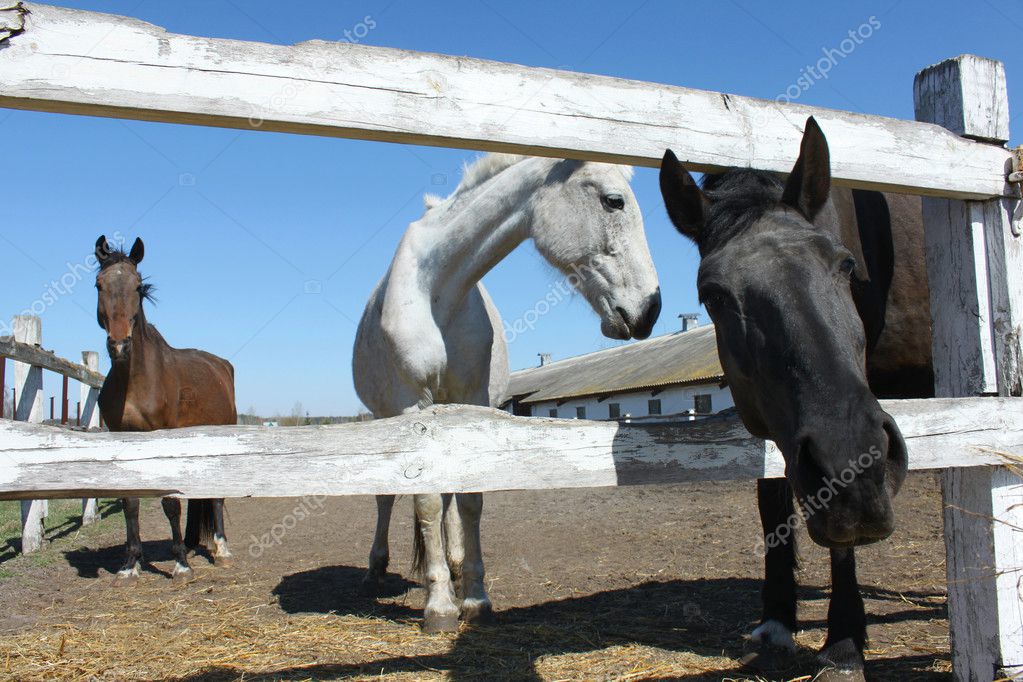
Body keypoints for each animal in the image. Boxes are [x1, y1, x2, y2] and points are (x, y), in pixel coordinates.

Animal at [92, 235, 235, 580]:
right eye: (99, 284)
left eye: (138, 286)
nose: (119, 345)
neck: (135, 382)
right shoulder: (122, 439)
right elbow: (130, 503)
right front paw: (130, 564)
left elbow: (171, 503)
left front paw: (181, 565)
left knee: (217, 497)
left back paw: (221, 550)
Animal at [351, 154, 658, 633]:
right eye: (614, 201)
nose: (651, 309)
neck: (438, 288)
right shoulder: (410, 408)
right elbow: (425, 502)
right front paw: (440, 607)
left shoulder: (473, 402)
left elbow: (469, 500)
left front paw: (475, 598)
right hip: (386, 419)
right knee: (387, 496)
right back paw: (377, 569)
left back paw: (455, 565)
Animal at [654, 117, 937, 678]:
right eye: (712, 295)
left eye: (847, 266)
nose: (853, 461)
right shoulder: (775, 422)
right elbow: (773, 500)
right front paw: (777, 620)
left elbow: (841, 541)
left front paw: (844, 641)